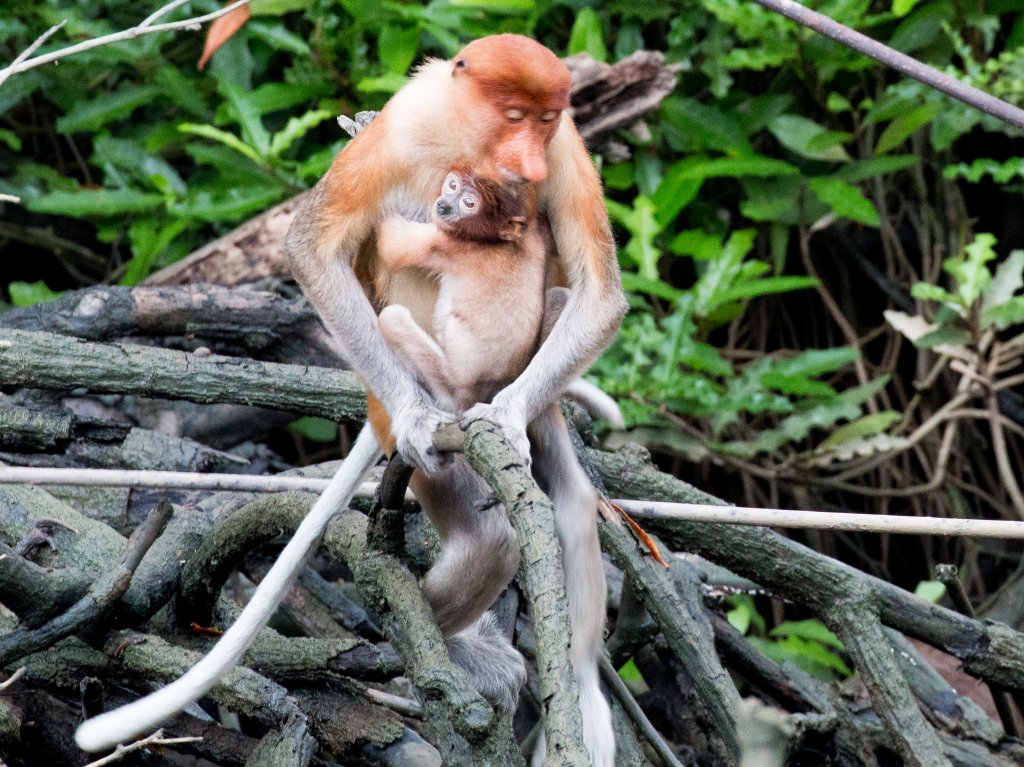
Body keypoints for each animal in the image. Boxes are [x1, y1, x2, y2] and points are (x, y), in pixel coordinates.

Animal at [76, 35, 626, 767]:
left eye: (543, 119)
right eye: (513, 114)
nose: (528, 159)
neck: (467, 132)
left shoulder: (566, 150)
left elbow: (599, 291)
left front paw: (507, 418)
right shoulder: (401, 131)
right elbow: (317, 245)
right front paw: (421, 418)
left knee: (565, 495)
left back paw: (581, 682)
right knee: (486, 534)